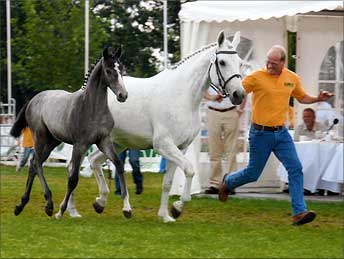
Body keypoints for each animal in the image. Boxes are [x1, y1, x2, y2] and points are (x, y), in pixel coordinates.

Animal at [10, 46, 132, 219]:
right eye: (108, 71)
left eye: (122, 69)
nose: (123, 95)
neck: (91, 107)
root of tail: (33, 99)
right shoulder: (80, 144)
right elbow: (73, 178)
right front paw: (61, 212)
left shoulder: (104, 141)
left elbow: (119, 165)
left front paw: (127, 209)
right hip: (40, 137)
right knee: (37, 163)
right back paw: (49, 204)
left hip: (52, 141)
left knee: (33, 164)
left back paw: (21, 205)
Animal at [79, 30, 245, 221]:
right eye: (222, 62)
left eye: (240, 62)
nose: (239, 94)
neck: (183, 97)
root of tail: (84, 91)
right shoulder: (163, 145)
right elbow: (189, 170)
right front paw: (177, 207)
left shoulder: (180, 148)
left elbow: (168, 182)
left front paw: (166, 215)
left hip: (116, 143)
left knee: (93, 160)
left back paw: (100, 202)